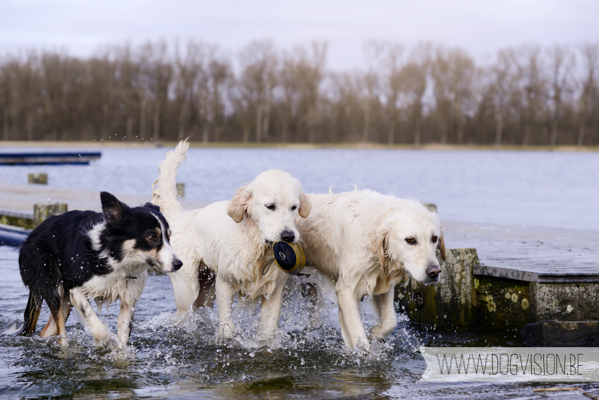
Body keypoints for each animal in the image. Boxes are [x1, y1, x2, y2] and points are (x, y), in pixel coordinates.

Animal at [152, 139, 312, 340]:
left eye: (294, 207)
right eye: (270, 206)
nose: (288, 236)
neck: (256, 247)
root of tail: (182, 215)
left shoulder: (274, 293)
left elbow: (267, 331)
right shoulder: (225, 284)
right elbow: (227, 326)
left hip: (206, 287)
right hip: (187, 289)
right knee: (184, 314)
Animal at [298, 189, 442, 348]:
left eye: (434, 238)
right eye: (410, 240)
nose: (434, 272)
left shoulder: (383, 280)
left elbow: (390, 322)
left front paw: (373, 334)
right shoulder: (346, 290)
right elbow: (360, 339)